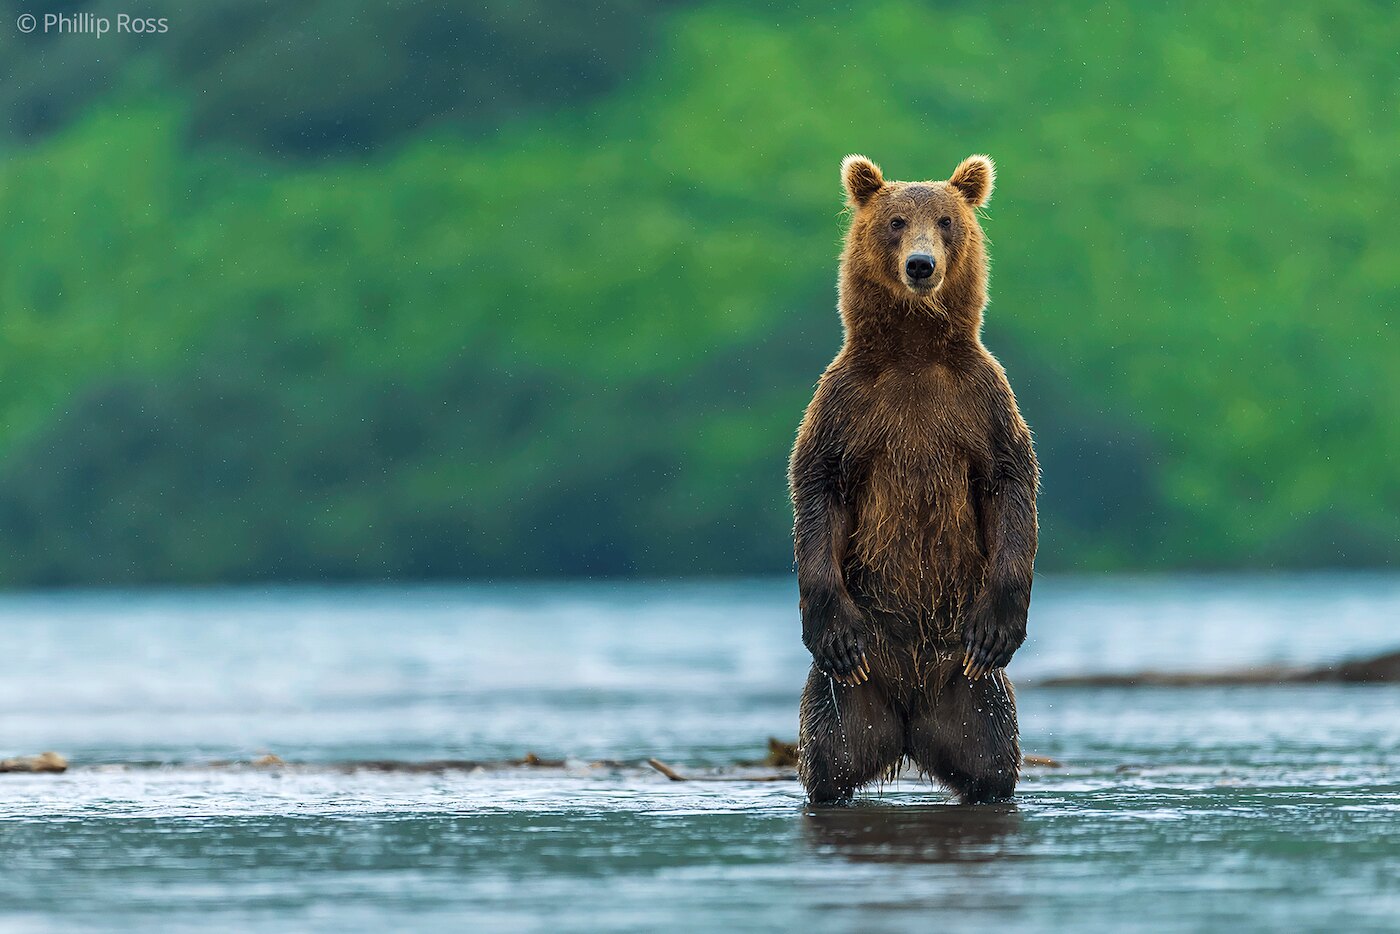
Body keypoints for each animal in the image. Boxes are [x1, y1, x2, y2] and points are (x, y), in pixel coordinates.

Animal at [790, 153, 1038, 805]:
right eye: (895, 221)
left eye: (947, 222)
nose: (921, 265)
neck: (913, 351)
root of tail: (908, 723)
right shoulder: (846, 404)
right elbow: (816, 485)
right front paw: (831, 629)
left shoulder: (980, 401)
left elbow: (1012, 482)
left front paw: (1000, 626)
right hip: (852, 690)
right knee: (827, 755)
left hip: (970, 690)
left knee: (992, 759)